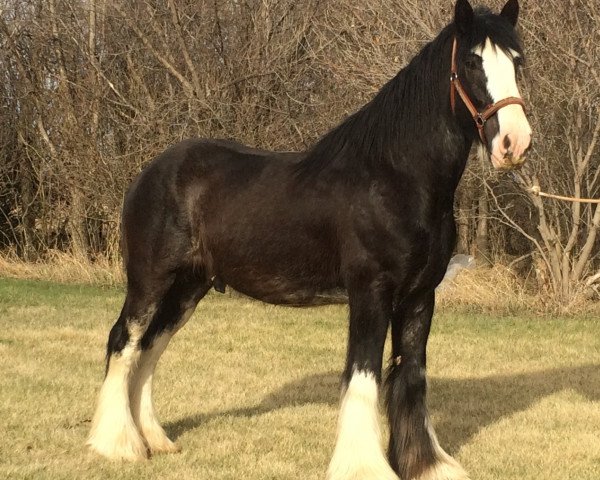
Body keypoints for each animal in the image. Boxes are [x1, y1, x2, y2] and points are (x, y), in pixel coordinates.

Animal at [88, 1, 528, 478]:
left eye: (517, 61)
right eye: (472, 62)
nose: (514, 142)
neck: (396, 178)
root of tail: (148, 173)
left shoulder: (419, 297)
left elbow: (411, 376)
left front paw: (426, 465)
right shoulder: (371, 292)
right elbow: (363, 375)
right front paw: (364, 466)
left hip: (189, 286)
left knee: (150, 348)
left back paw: (154, 440)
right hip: (149, 280)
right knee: (124, 342)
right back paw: (117, 444)